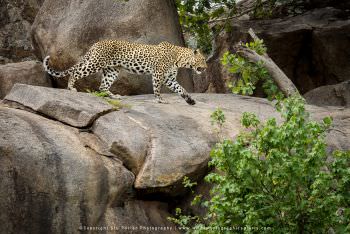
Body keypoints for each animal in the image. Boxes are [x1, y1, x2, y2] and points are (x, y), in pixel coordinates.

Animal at [43, 40, 208, 105]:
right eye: (203, 59)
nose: (206, 68)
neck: (180, 59)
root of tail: (96, 44)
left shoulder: (170, 79)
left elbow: (181, 89)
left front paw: (190, 100)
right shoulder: (158, 74)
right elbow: (157, 88)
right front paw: (160, 100)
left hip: (111, 71)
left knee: (102, 86)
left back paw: (114, 96)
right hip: (95, 63)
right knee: (76, 72)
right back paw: (71, 88)